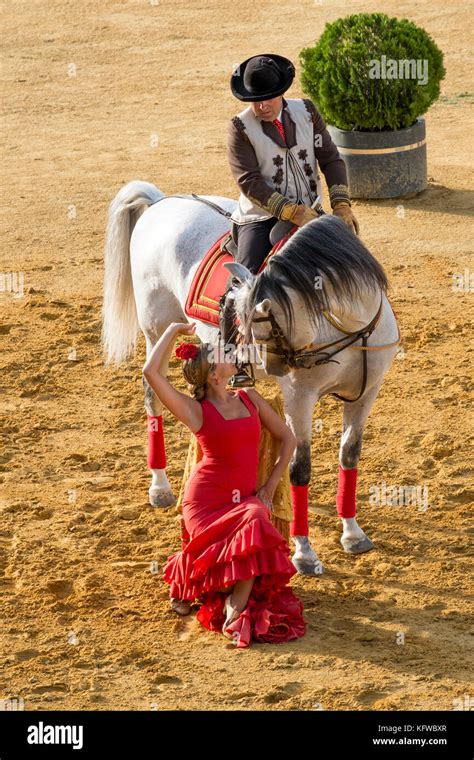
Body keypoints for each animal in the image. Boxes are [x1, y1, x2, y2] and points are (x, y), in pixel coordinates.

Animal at [101, 180, 400, 575]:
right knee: (153, 397)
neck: (350, 326)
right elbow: (300, 468)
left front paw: (352, 532)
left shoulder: (367, 393)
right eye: (252, 318)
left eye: (266, 318)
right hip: (156, 330)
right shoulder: (300, 398)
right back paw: (160, 486)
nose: (278, 367)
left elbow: (349, 456)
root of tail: (161, 202)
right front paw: (304, 552)